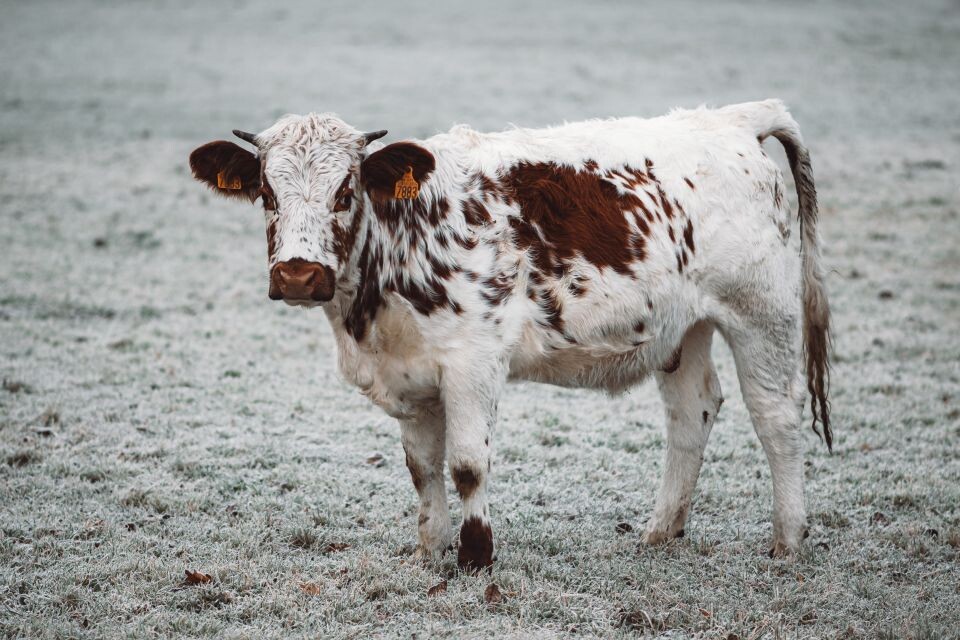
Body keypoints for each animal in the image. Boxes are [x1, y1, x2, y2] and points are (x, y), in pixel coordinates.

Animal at [189, 99, 831, 570]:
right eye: (267, 194)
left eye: (345, 191)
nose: (298, 274)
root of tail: (736, 118)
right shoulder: (411, 378)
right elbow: (423, 469)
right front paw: (430, 551)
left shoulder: (472, 365)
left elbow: (467, 464)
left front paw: (476, 557)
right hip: (682, 327)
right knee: (692, 412)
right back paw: (660, 531)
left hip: (760, 314)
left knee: (776, 417)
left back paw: (788, 539)